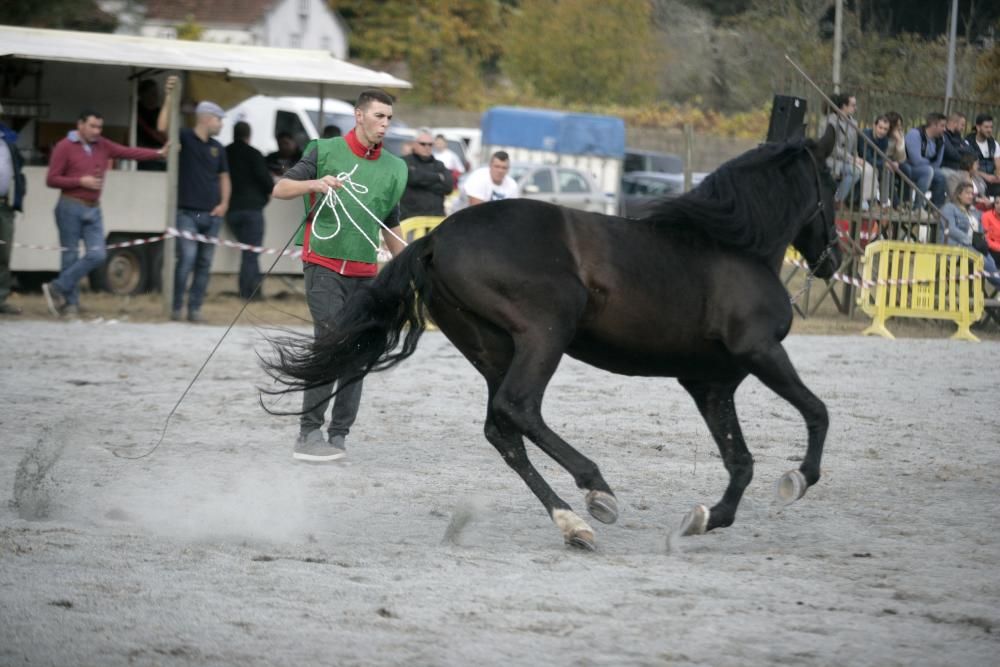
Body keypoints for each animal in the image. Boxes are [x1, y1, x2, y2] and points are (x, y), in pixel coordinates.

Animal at [266, 128, 844, 552]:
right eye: (835, 184)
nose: (834, 259)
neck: (734, 248)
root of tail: (435, 239)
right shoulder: (761, 352)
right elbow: (817, 412)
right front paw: (796, 480)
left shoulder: (711, 383)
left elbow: (739, 461)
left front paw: (704, 518)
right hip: (547, 331)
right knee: (519, 408)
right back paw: (597, 492)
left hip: (492, 348)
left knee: (502, 428)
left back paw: (572, 523)